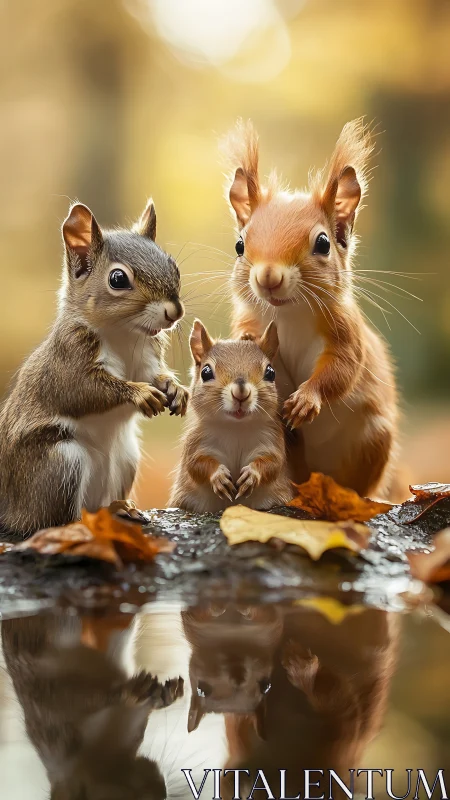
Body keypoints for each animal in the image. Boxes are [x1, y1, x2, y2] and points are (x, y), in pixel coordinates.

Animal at [0, 199, 188, 536]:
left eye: (173, 266)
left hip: (126, 459)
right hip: (59, 464)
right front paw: (139, 394)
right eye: (118, 279)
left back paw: (119, 508)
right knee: (53, 521)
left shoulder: (147, 359)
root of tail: (11, 510)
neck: (125, 334)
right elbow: (83, 390)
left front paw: (176, 389)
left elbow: (156, 375)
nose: (174, 312)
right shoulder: (68, 360)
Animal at [169, 319, 294, 513]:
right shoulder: (196, 443)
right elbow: (197, 464)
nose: (241, 392)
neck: (236, 427)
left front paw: (252, 474)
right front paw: (218, 476)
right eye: (205, 372)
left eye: (270, 372)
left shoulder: (271, 440)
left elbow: (273, 463)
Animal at [222, 119, 398, 499]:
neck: (287, 314)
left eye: (323, 243)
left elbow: (342, 368)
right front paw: (245, 338)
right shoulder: (251, 314)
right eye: (240, 245)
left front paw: (306, 399)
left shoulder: (345, 331)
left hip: (374, 440)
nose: (268, 277)